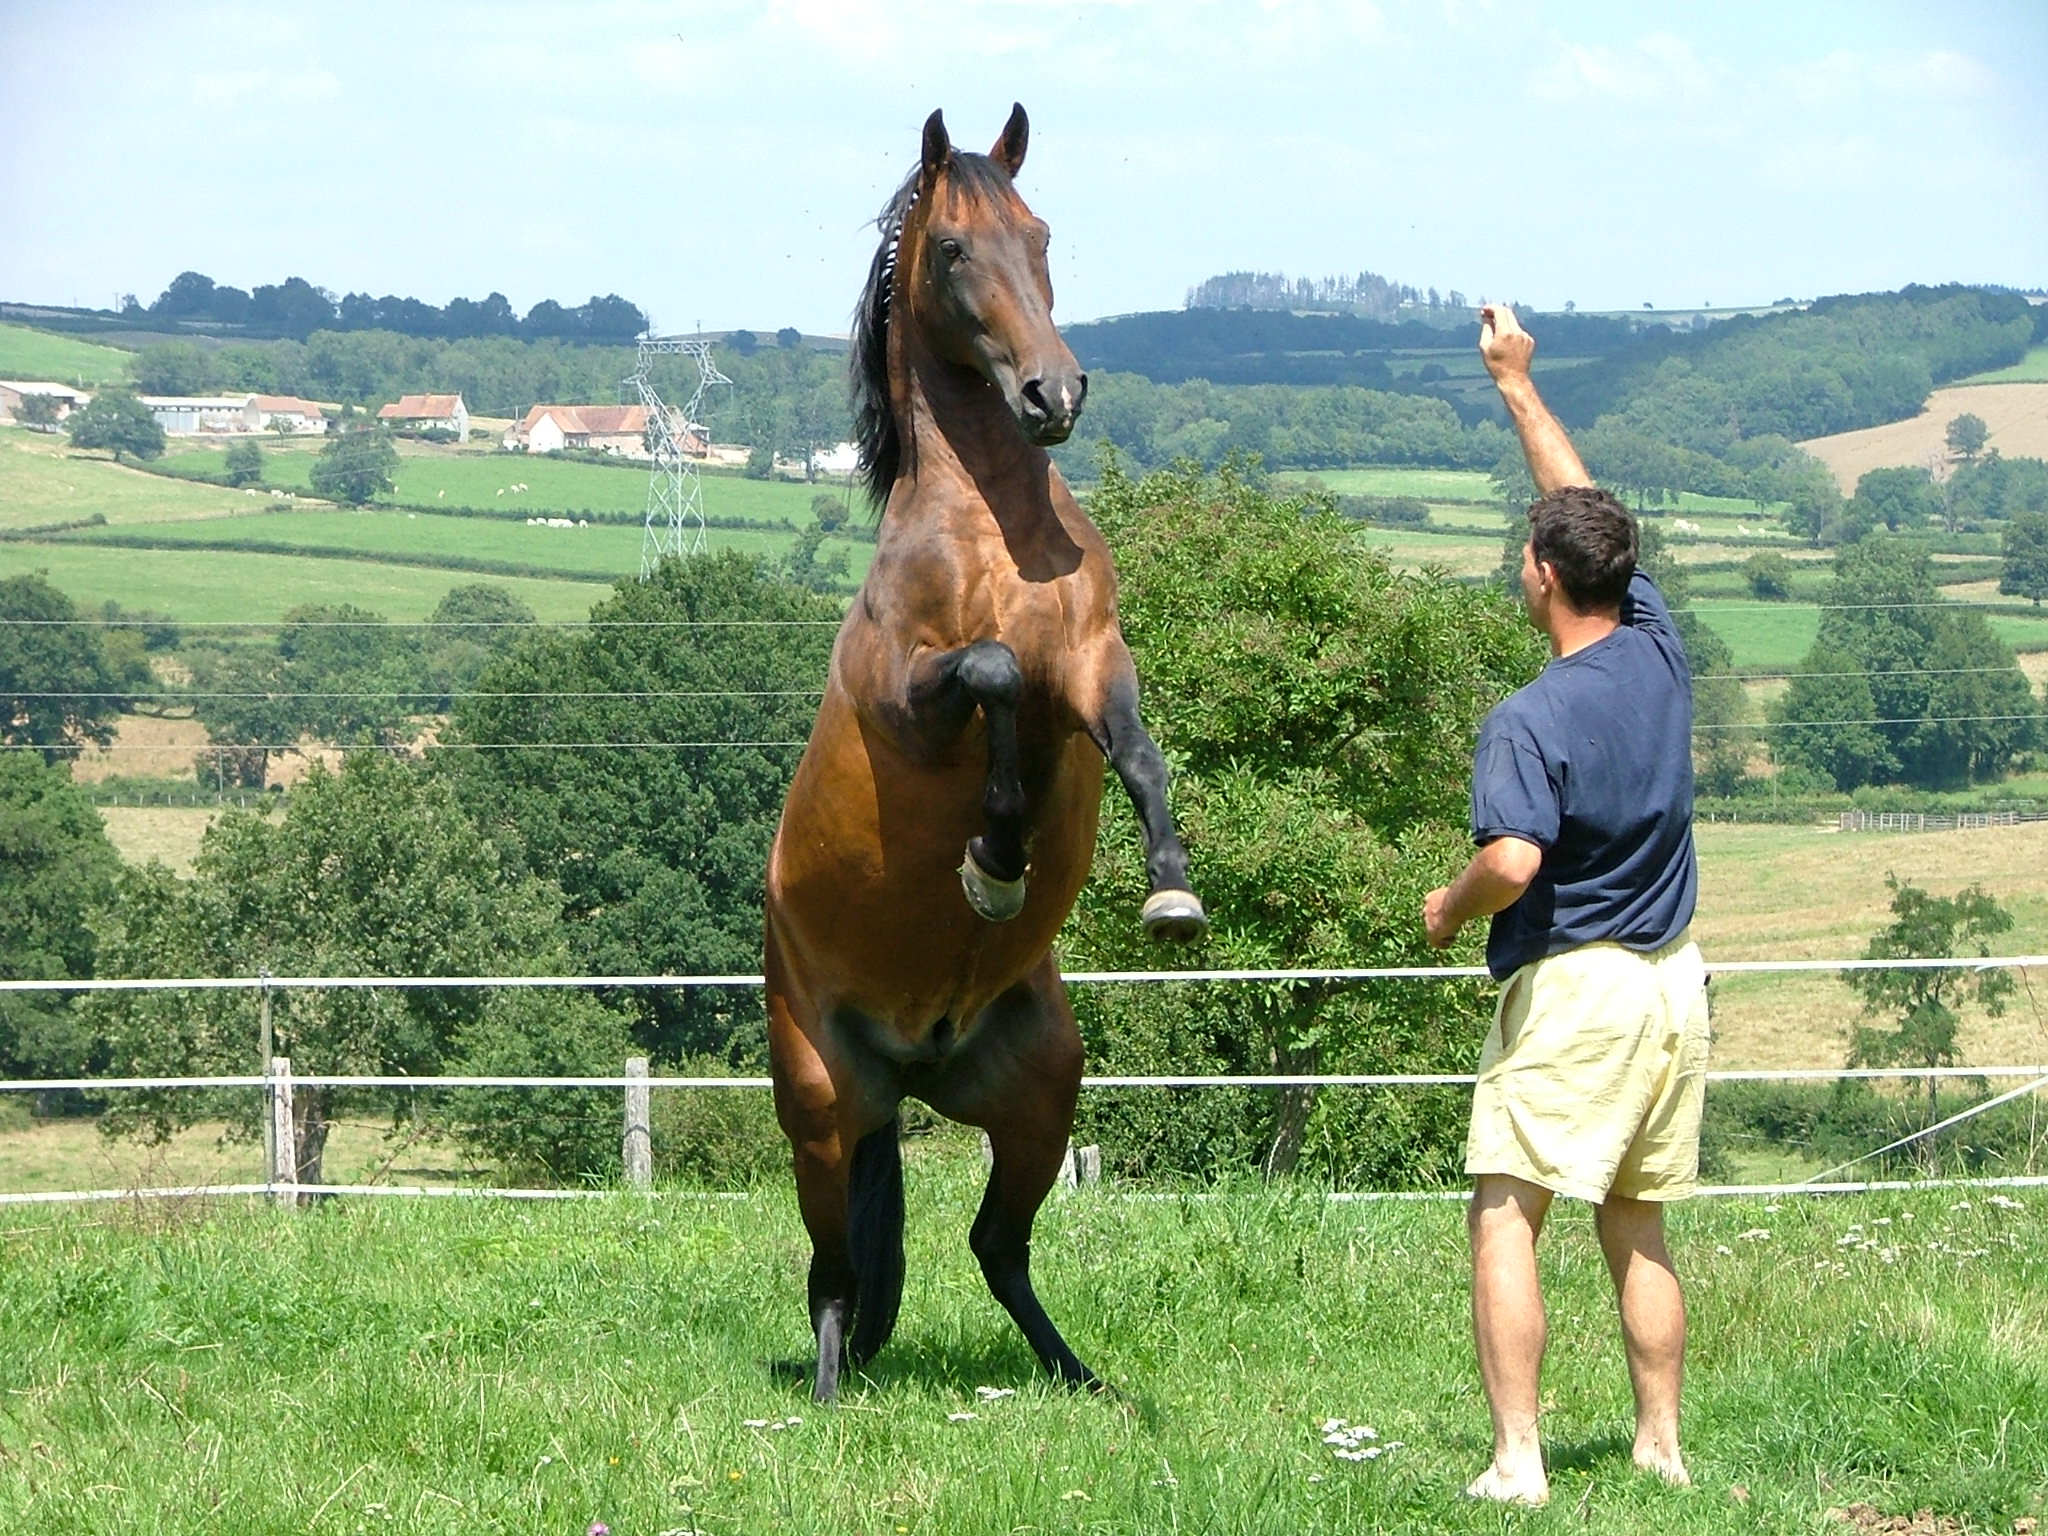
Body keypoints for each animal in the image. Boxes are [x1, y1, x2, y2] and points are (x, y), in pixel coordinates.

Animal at [764, 104, 1207, 1404]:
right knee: (833, 1272)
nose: (1051, 391)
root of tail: (913, 1067)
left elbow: (1138, 750)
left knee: (993, 1246)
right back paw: (824, 1397)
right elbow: (995, 677)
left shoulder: (1096, 664)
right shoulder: (912, 695)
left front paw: (1170, 893)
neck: (992, 535)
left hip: (1040, 1091)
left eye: (1040, 232)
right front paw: (994, 853)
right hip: (822, 1106)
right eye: (954, 249)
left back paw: (1081, 1380)